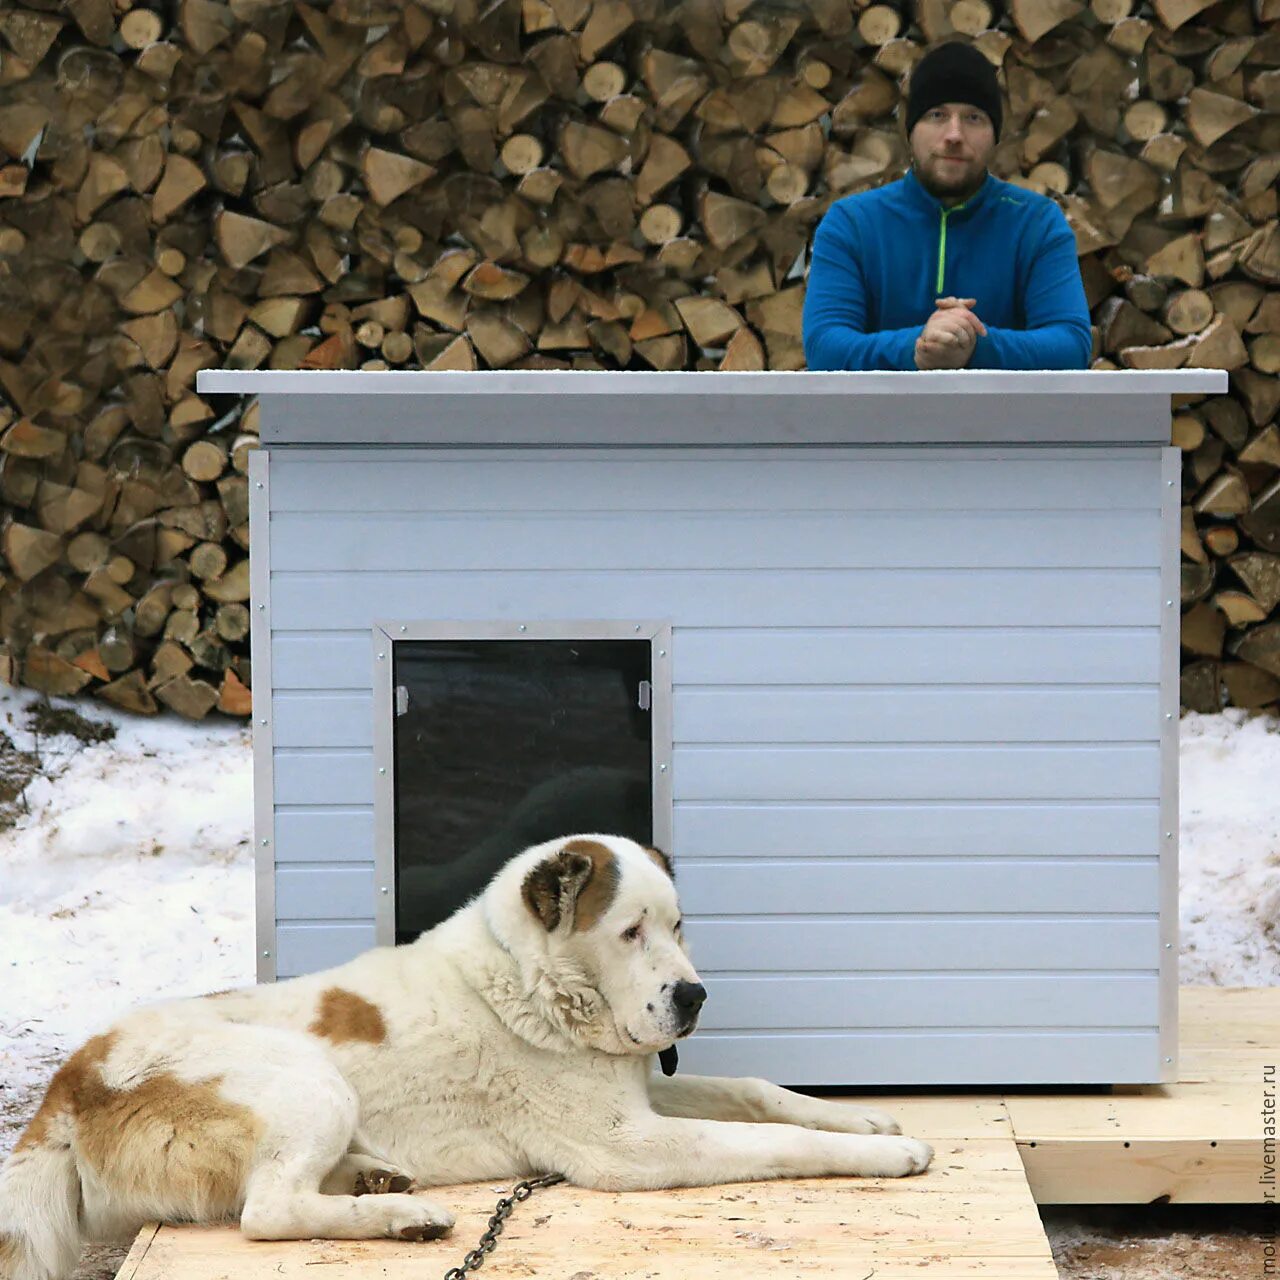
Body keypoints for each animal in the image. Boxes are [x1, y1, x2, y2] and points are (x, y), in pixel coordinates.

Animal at [0, 834, 931, 1274]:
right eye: (631, 931)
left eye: (677, 927)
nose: (694, 997)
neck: (533, 984)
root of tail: (70, 1082)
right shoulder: (628, 1145)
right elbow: (773, 1142)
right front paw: (887, 1154)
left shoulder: (641, 1094)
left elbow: (758, 1089)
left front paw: (866, 1118)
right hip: (308, 1082)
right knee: (267, 1211)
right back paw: (400, 1216)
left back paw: (377, 1180)